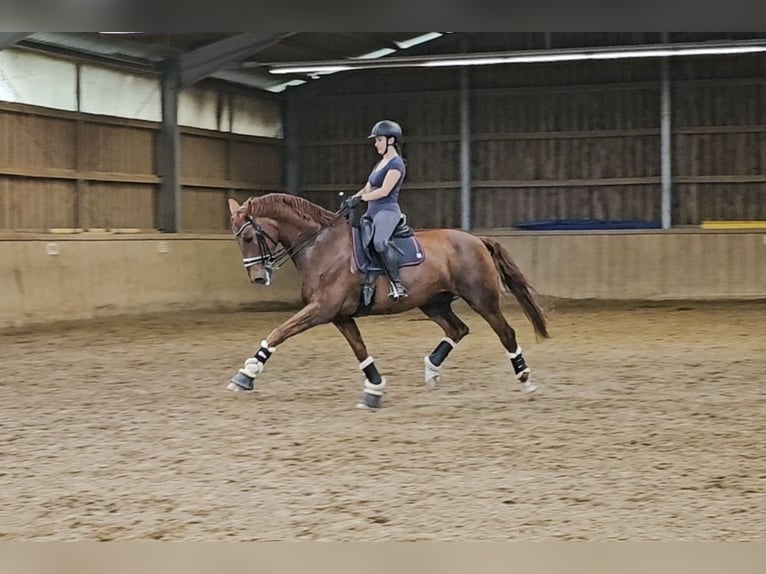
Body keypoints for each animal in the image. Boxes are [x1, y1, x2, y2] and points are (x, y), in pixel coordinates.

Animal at [225, 196, 548, 412]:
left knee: (505, 333)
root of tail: (477, 240)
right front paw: (374, 389)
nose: (257, 277)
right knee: (458, 329)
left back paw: (526, 380)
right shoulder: (339, 315)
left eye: (250, 236)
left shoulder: (322, 309)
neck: (321, 247)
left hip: (482, 300)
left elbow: (279, 331)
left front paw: (246, 374)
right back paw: (431, 369)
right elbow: (360, 350)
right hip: (434, 303)